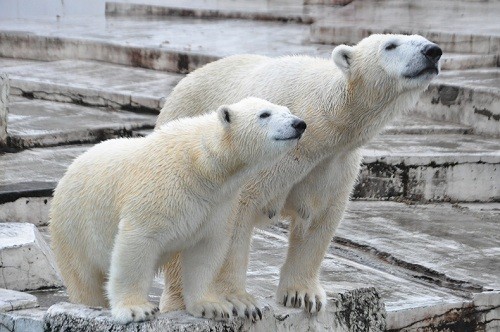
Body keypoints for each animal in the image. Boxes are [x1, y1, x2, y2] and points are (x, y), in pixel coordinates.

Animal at [51, 96, 308, 324]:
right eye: (265, 114)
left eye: (287, 109)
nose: (299, 123)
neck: (202, 164)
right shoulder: (159, 189)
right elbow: (136, 243)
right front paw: (136, 310)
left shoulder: (218, 203)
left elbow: (205, 250)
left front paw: (211, 306)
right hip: (74, 229)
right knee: (86, 281)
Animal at [155, 33, 442, 316]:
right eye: (390, 45)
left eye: (421, 37)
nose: (433, 51)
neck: (318, 121)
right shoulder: (261, 149)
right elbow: (236, 213)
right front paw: (239, 301)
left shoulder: (333, 162)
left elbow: (320, 217)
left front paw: (302, 295)